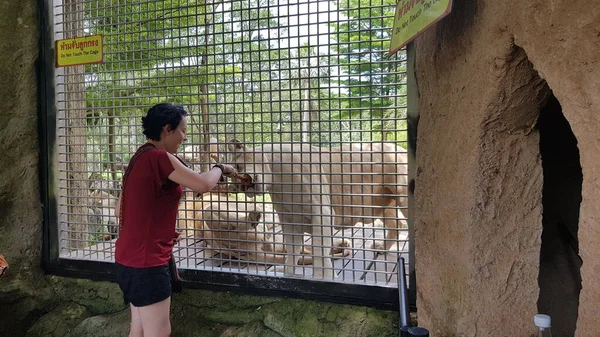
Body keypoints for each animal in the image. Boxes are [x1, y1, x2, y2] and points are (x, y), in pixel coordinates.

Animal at [225, 139, 408, 278]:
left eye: (237, 167)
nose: (239, 187)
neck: (277, 181)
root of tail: (401, 148)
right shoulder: (289, 219)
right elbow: (292, 250)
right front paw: (289, 273)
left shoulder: (322, 213)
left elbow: (319, 251)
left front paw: (324, 277)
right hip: (383, 204)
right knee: (396, 225)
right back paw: (382, 248)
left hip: (402, 197)